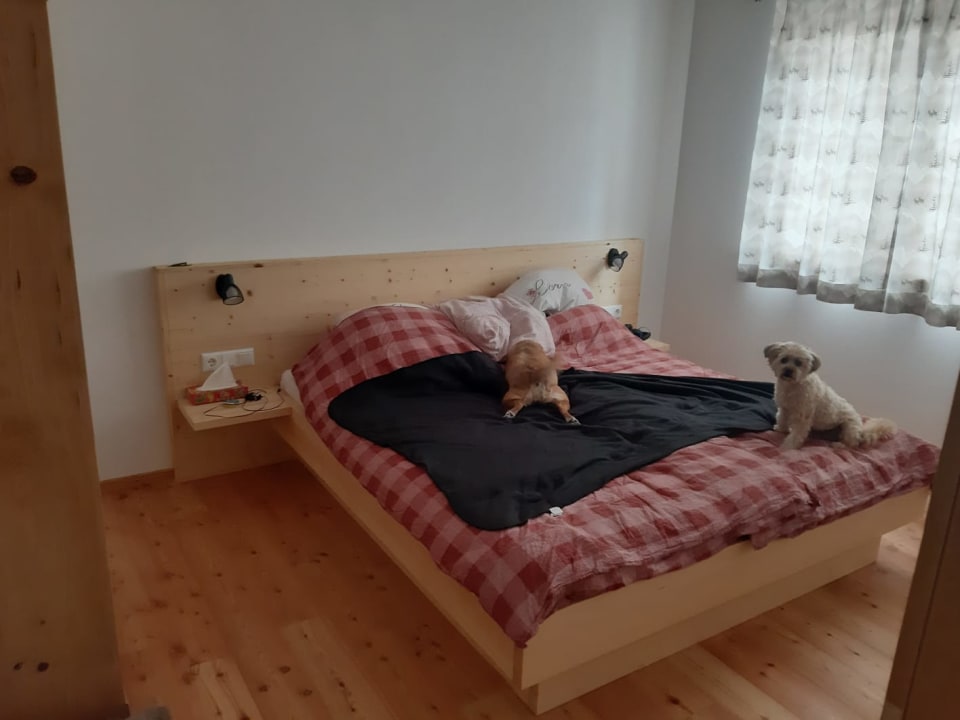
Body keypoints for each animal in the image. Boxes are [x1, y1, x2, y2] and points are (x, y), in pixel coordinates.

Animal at [764, 341, 896, 450]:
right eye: (784, 360)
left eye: (798, 363)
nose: (788, 370)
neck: (792, 385)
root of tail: (861, 432)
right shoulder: (784, 408)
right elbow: (782, 419)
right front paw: (781, 429)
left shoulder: (802, 417)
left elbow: (796, 435)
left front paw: (787, 447)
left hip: (849, 427)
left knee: (852, 444)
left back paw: (839, 445)